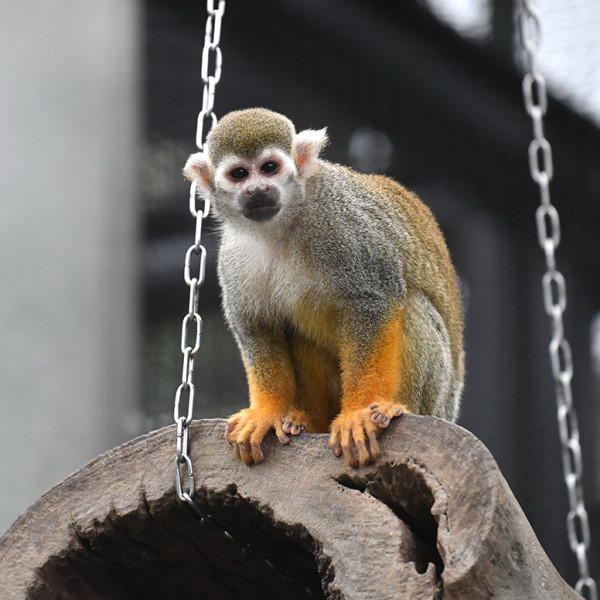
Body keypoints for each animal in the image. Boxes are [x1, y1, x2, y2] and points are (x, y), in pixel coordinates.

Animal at [183, 108, 464, 466]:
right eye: (239, 174)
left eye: (269, 168)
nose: (257, 190)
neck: (281, 226)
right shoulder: (233, 256)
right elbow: (257, 327)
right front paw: (266, 411)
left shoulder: (341, 224)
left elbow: (374, 300)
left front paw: (359, 411)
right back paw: (305, 420)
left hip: (438, 401)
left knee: (412, 304)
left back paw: (393, 408)